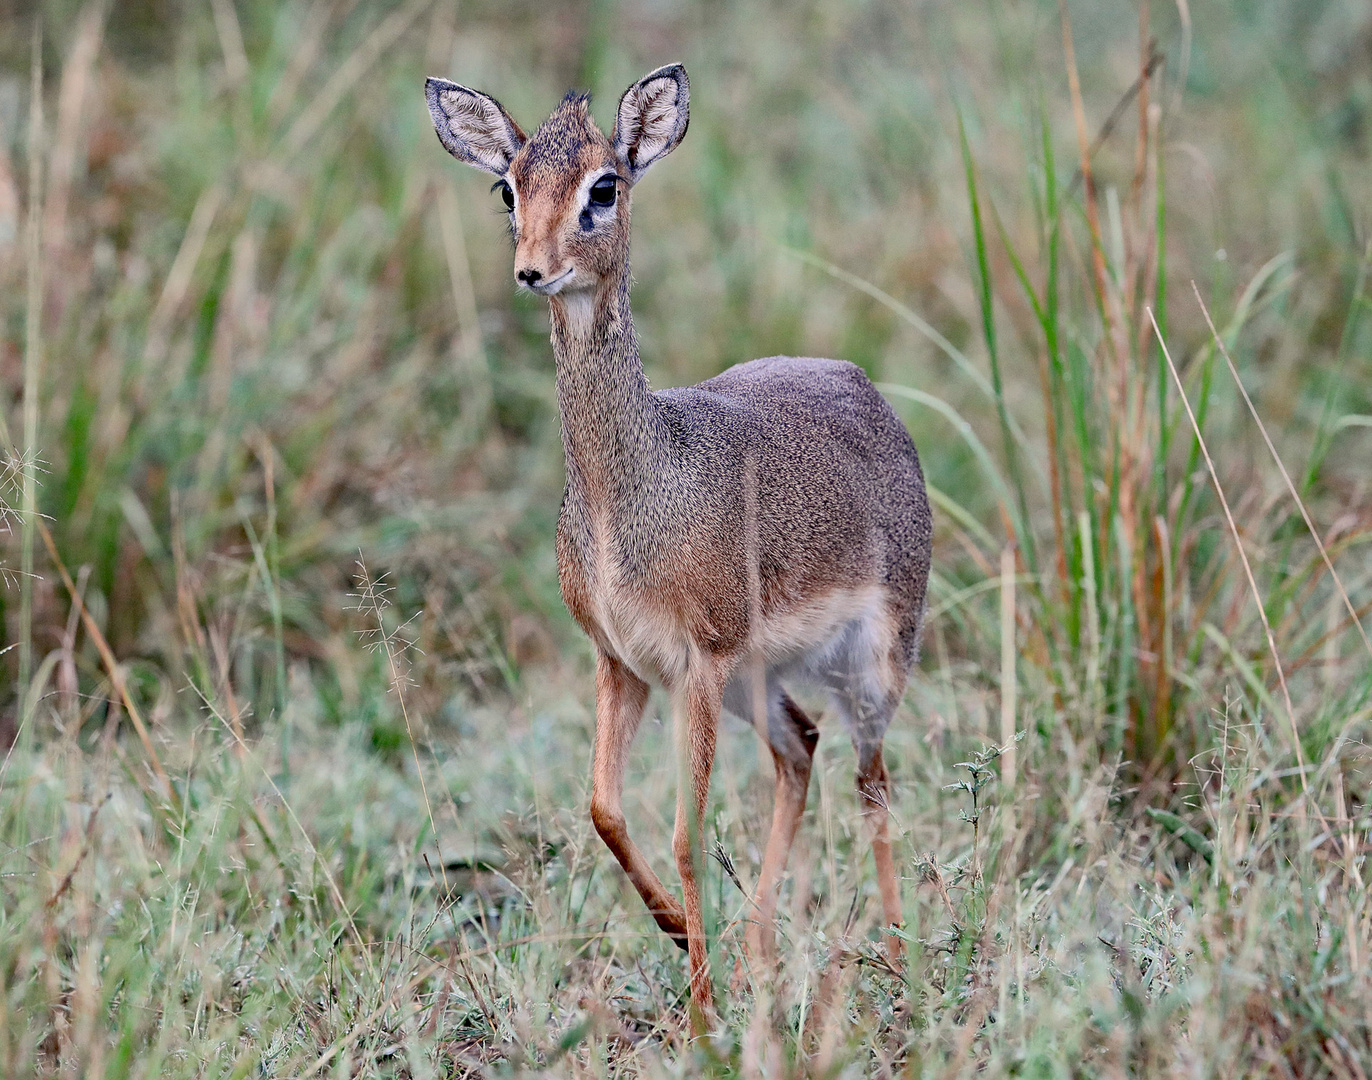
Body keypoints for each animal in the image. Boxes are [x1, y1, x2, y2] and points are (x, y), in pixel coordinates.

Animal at [422, 61, 927, 1020]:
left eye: (603, 186)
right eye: (509, 187)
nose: (531, 271)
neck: (637, 497)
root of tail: (863, 386)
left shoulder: (698, 662)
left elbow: (691, 836)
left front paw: (702, 1016)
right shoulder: (621, 663)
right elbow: (604, 810)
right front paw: (674, 936)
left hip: (871, 662)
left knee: (871, 779)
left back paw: (898, 956)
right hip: (758, 681)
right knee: (801, 751)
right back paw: (762, 949)